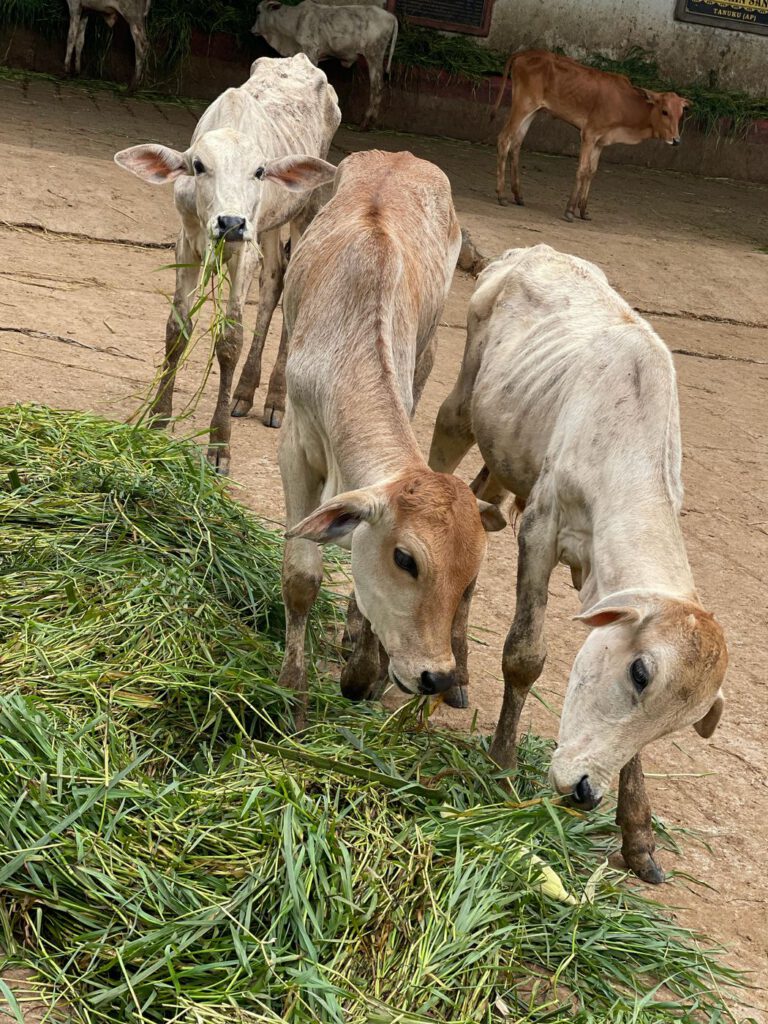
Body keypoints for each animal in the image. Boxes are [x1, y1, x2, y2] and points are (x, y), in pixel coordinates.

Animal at [114, 55, 341, 470]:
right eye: (198, 165)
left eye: (260, 171)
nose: (231, 222)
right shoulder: (187, 244)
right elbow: (177, 329)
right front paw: (158, 421)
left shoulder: (242, 252)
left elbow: (230, 339)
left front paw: (219, 445)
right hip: (268, 226)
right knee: (274, 281)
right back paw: (245, 392)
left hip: (306, 211)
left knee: (289, 287)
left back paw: (274, 399)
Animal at [248, 148, 505, 727]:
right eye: (406, 559)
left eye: (469, 577)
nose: (437, 676)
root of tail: (401, 154)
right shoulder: (296, 453)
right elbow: (301, 577)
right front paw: (293, 698)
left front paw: (363, 667)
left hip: (429, 352)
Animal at [252, 0, 398, 130]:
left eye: (258, 12)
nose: (251, 29)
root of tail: (391, 16)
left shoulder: (311, 51)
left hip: (374, 55)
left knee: (376, 87)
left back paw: (366, 122)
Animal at [429, 244, 727, 884]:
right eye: (640, 673)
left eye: (680, 722)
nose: (585, 791)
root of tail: (532, 252)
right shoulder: (540, 529)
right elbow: (525, 656)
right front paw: (501, 763)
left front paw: (637, 834)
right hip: (460, 408)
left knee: (474, 519)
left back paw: (457, 671)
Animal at [492, 50, 690, 221]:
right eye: (665, 111)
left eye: (681, 113)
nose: (676, 140)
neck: (625, 105)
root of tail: (523, 53)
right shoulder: (589, 134)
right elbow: (582, 169)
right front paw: (569, 211)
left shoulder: (600, 142)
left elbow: (591, 171)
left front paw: (583, 211)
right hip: (523, 105)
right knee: (504, 139)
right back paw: (501, 196)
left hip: (533, 111)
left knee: (516, 144)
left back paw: (518, 196)